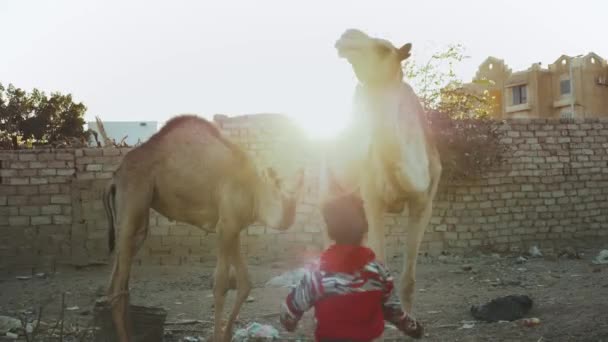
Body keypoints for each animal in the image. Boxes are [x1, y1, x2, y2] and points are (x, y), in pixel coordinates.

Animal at [105, 115, 304, 342]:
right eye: (276, 181)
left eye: (301, 185)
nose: (290, 207)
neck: (254, 190)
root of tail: (115, 176)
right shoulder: (225, 227)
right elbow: (221, 285)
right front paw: (217, 336)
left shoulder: (233, 227)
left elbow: (245, 283)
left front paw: (227, 335)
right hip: (134, 194)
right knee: (119, 279)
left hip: (137, 213)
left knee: (120, 275)